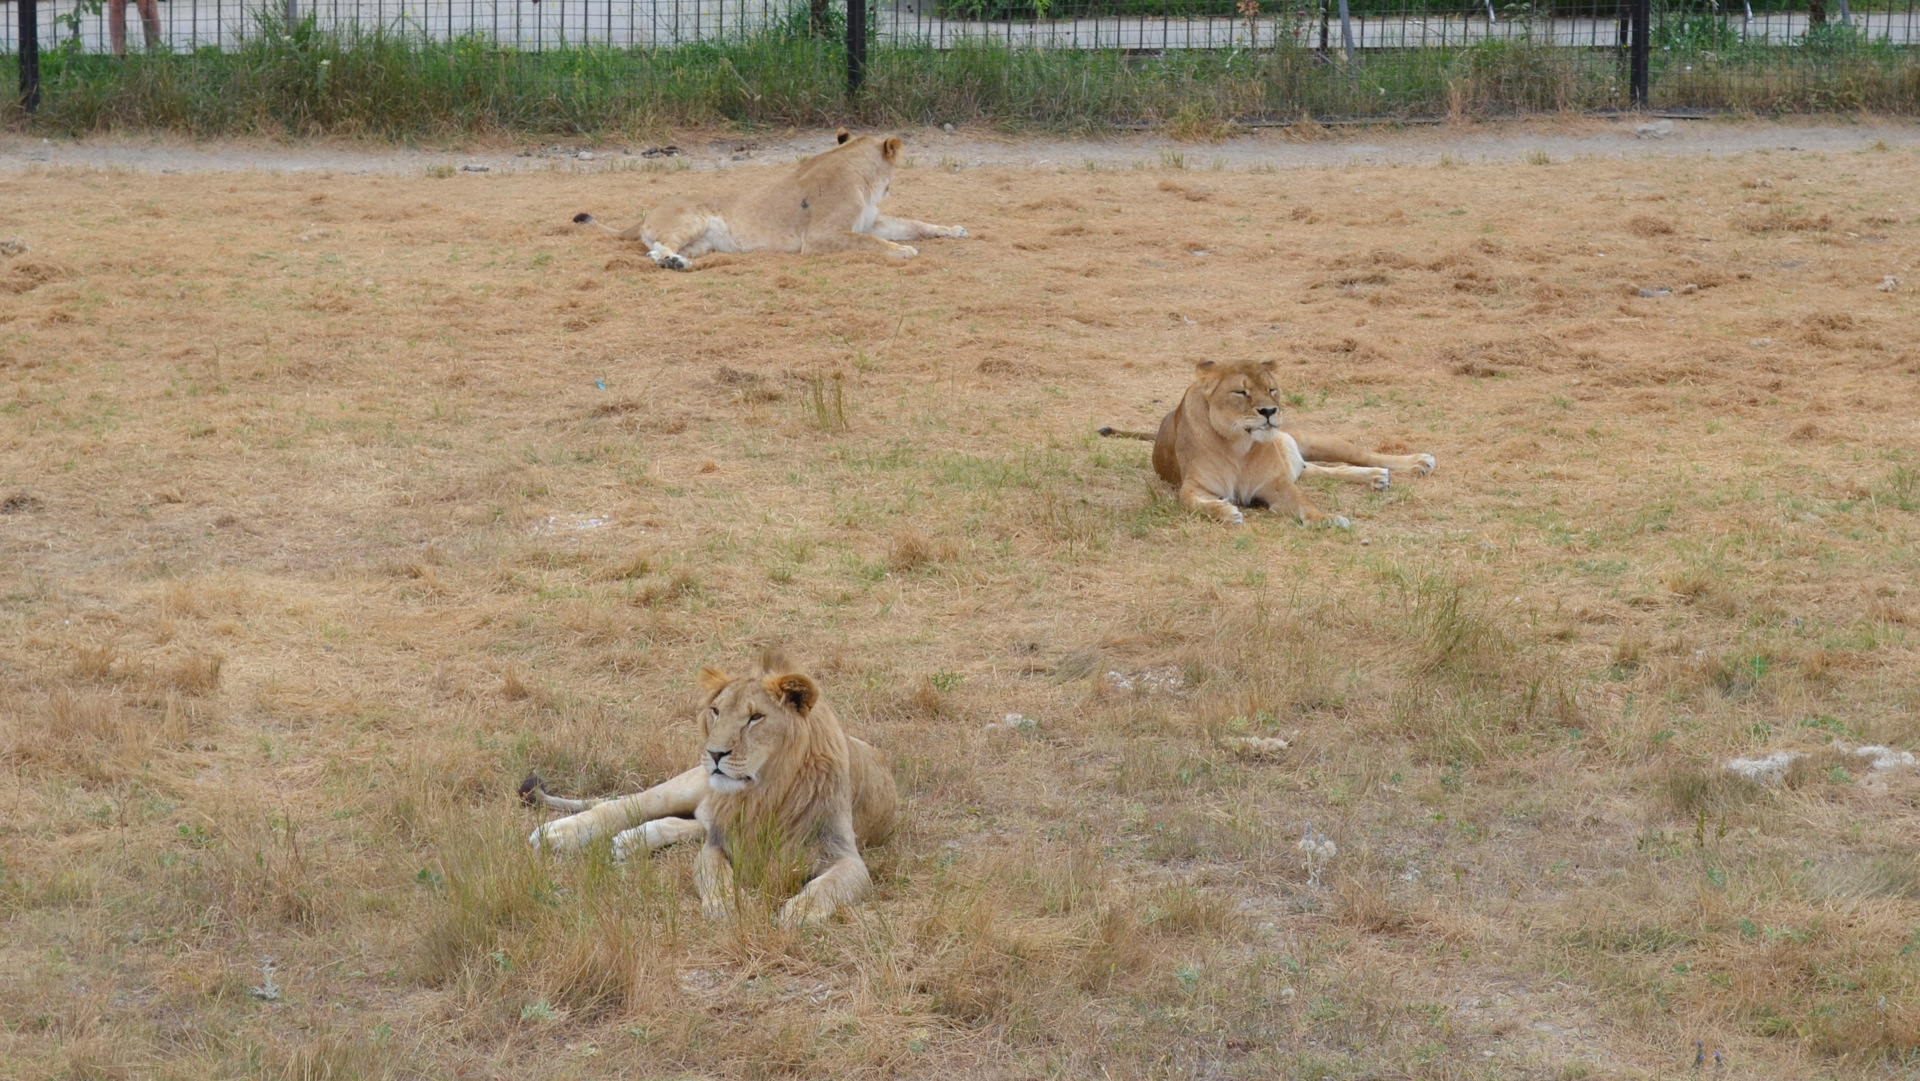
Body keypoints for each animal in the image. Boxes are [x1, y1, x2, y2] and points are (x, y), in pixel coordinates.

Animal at [518, 656, 890, 925]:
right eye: (716, 711)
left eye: (755, 717)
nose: (714, 754)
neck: (766, 793)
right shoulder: (719, 846)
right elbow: (716, 877)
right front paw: (726, 907)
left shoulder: (844, 856)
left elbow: (827, 886)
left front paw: (798, 913)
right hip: (685, 786)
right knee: (624, 805)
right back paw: (556, 834)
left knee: (689, 823)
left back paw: (629, 841)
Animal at [564, 129, 960, 272]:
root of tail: (647, 213)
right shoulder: (821, 237)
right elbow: (870, 242)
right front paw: (903, 251)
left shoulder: (872, 220)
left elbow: (913, 222)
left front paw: (952, 229)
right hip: (690, 219)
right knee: (658, 248)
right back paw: (673, 263)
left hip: (704, 244)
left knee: (661, 250)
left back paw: (678, 262)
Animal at [1105, 359, 1436, 529]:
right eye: (1241, 392)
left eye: (1272, 389)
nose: (1269, 411)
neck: (1238, 445)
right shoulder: (1192, 485)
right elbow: (1194, 503)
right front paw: (1226, 512)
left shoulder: (1276, 484)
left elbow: (1305, 502)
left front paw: (1326, 519)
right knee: (1320, 470)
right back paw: (1377, 478)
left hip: (1316, 440)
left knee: (1361, 455)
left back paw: (1416, 463)